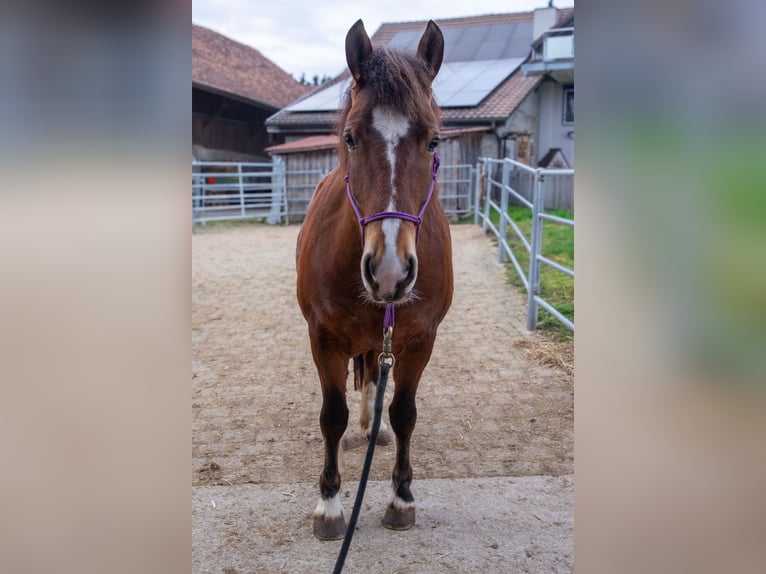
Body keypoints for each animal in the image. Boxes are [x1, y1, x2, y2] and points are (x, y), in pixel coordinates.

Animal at [296, 19, 453, 540]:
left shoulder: (420, 339)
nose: (389, 271)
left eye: (433, 141)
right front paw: (329, 506)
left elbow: (404, 414)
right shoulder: (323, 338)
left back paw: (375, 426)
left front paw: (401, 498)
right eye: (349, 138)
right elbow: (332, 416)